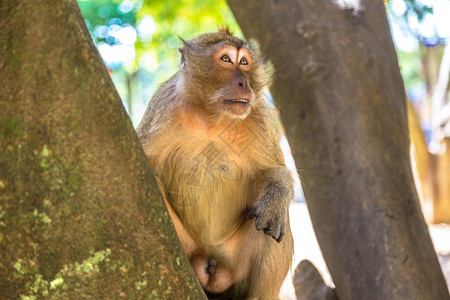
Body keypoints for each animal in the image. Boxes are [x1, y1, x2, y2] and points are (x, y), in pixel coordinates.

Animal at [135, 27, 294, 298]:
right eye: (226, 59)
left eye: (244, 62)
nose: (244, 83)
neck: (212, 116)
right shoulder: (162, 107)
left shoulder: (258, 114)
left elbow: (275, 171)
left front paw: (276, 194)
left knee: (274, 224)